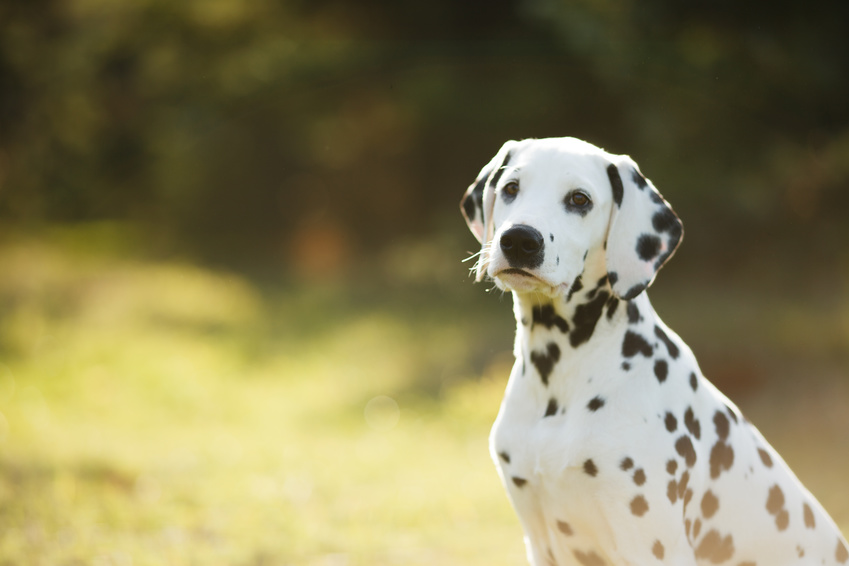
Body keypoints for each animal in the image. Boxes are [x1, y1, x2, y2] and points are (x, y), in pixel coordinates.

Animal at [460, 139, 844, 566]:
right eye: (511, 188)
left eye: (579, 199)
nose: (519, 240)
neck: (559, 381)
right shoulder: (541, 543)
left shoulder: (652, 545)